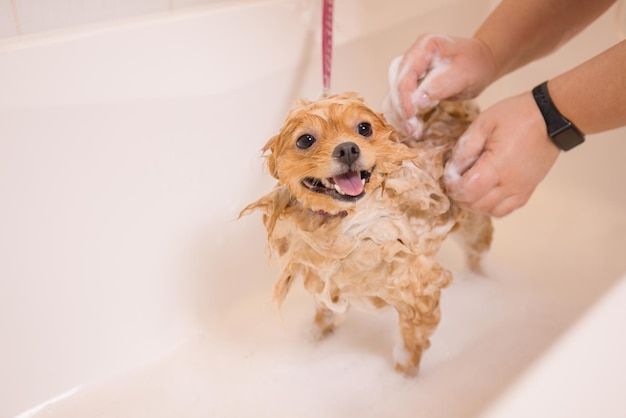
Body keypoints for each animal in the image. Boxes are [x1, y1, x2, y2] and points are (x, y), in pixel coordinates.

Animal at [241, 92, 490, 376]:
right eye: (305, 140)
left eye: (364, 128)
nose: (347, 149)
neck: (345, 223)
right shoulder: (325, 280)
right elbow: (323, 316)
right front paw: (313, 339)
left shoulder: (417, 293)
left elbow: (409, 349)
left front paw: (404, 378)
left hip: (474, 224)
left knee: (476, 254)